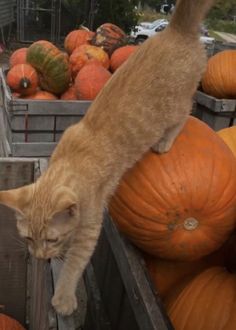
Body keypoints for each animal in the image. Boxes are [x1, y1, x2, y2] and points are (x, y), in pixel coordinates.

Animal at [0, 0, 214, 316]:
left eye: (51, 239)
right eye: (28, 238)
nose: (39, 258)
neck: (68, 162)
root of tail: (177, 28)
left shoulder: (91, 226)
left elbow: (75, 262)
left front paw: (63, 298)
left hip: (177, 105)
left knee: (185, 114)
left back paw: (164, 141)